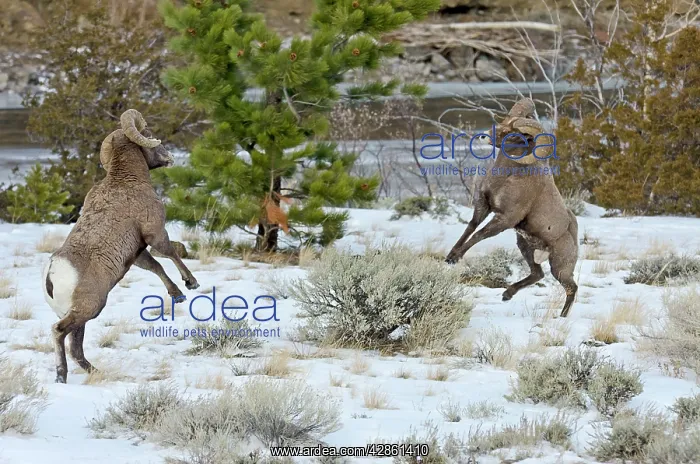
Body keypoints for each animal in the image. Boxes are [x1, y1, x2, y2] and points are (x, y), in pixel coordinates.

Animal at [42, 109, 200, 383]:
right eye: (149, 133)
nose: (169, 157)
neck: (126, 181)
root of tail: (52, 275)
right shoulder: (154, 233)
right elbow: (169, 253)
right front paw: (190, 284)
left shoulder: (137, 253)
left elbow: (156, 266)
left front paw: (177, 295)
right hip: (89, 308)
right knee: (59, 333)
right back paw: (62, 376)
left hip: (81, 315)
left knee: (76, 347)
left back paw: (96, 372)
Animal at [445, 98, 579, 317]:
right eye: (504, 120)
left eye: (514, 133)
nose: (484, 135)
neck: (506, 178)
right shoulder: (483, 206)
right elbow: (471, 227)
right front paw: (450, 256)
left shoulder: (505, 219)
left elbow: (479, 234)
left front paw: (456, 258)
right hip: (525, 246)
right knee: (537, 274)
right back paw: (507, 295)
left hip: (560, 266)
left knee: (571, 287)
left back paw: (561, 317)